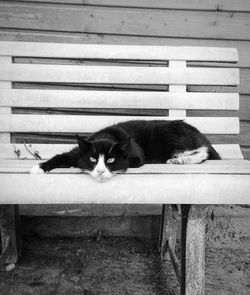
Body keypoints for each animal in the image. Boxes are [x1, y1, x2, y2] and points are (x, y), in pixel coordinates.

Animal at [30, 119, 221, 182]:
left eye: (110, 160)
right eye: (92, 159)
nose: (100, 171)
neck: (107, 136)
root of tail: (199, 133)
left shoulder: (136, 156)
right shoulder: (78, 151)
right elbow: (61, 156)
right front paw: (39, 168)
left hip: (172, 138)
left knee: (203, 152)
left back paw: (180, 160)